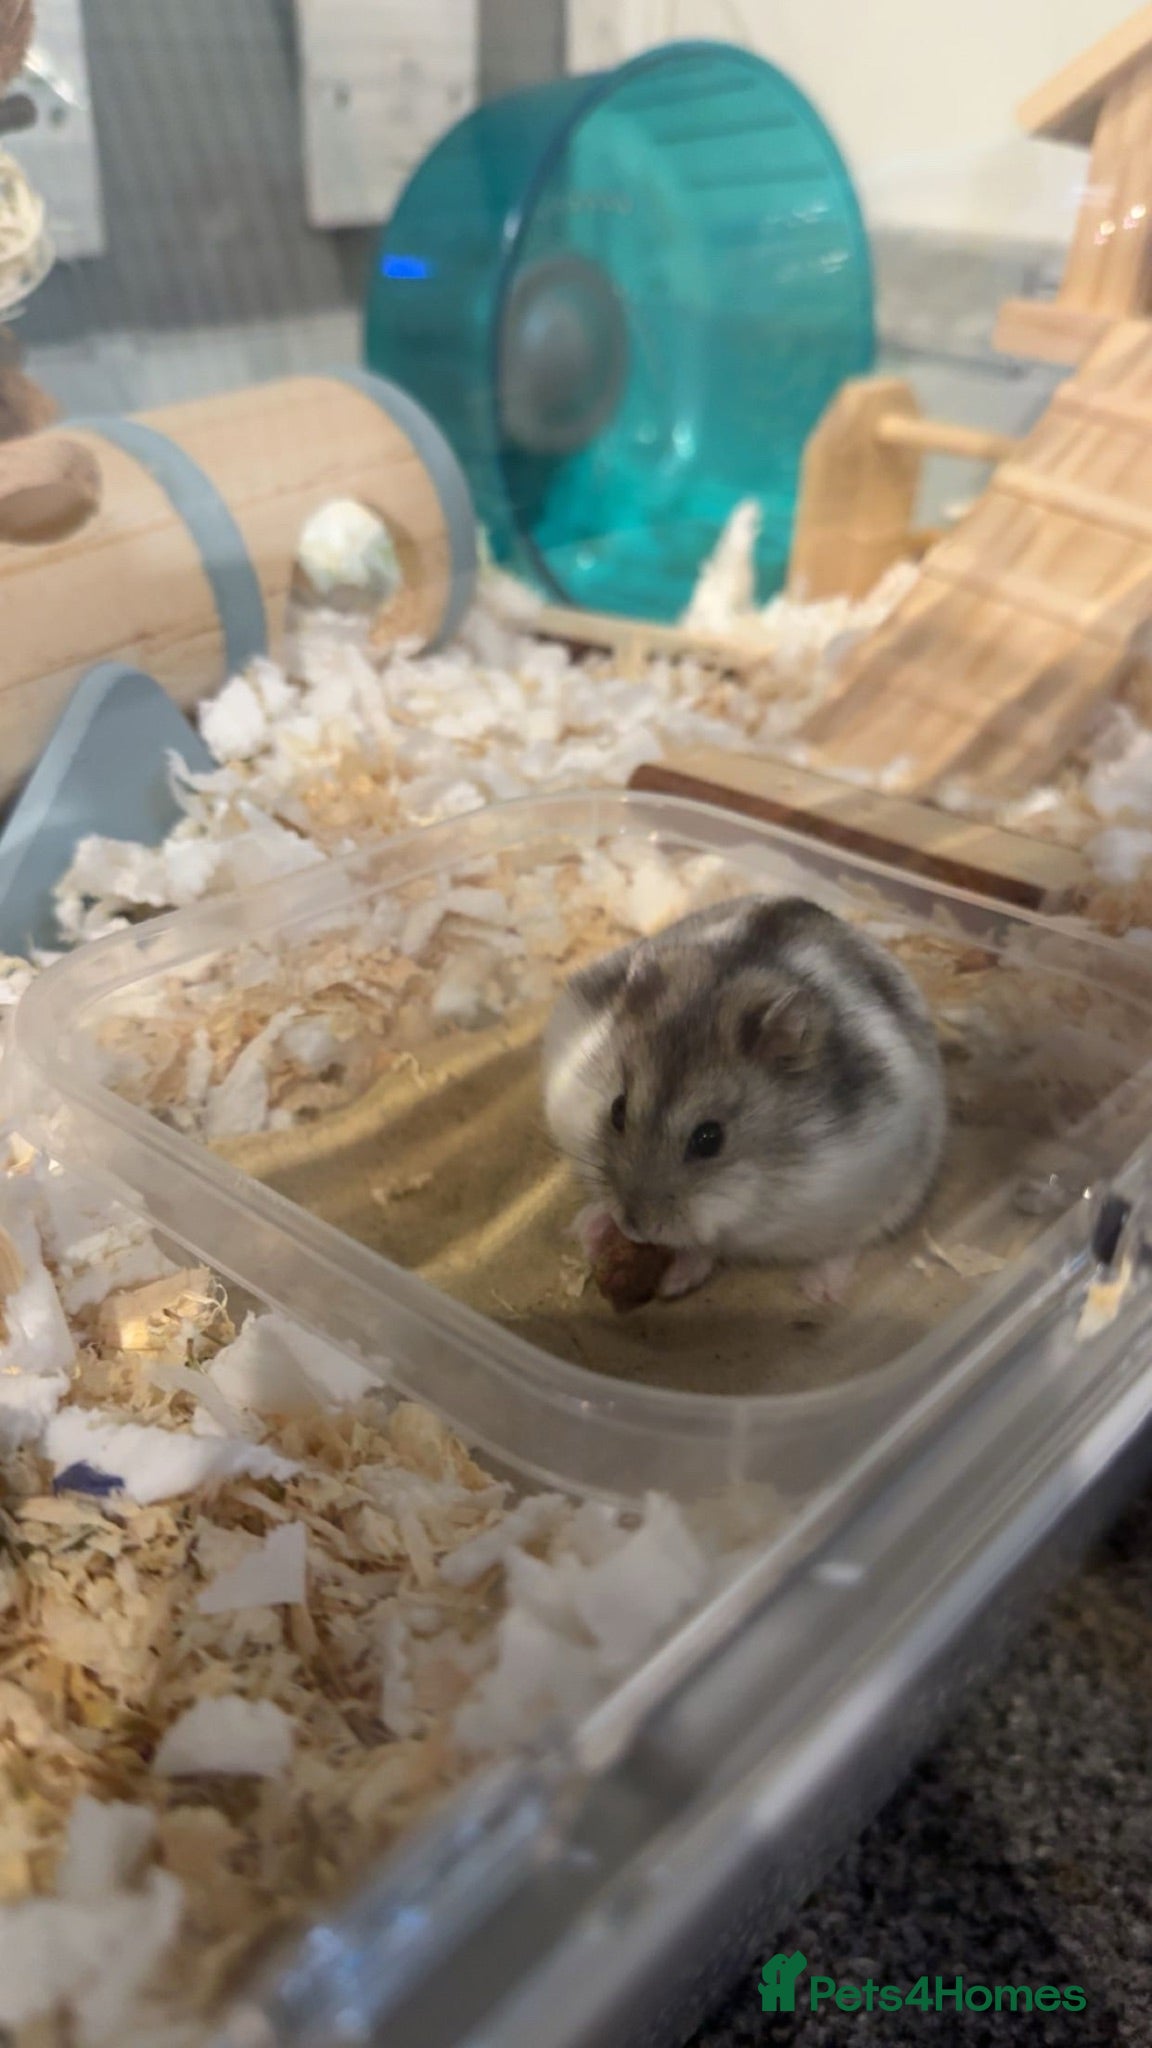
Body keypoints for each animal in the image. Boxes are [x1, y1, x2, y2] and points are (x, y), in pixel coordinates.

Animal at [542, 894, 947, 1302]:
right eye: (617, 1110)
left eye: (709, 1139)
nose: (632, 1227)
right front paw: (593, 1229)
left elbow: (708, 1245)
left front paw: (674, 1281)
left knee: (850, 1243)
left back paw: (819, 1289)